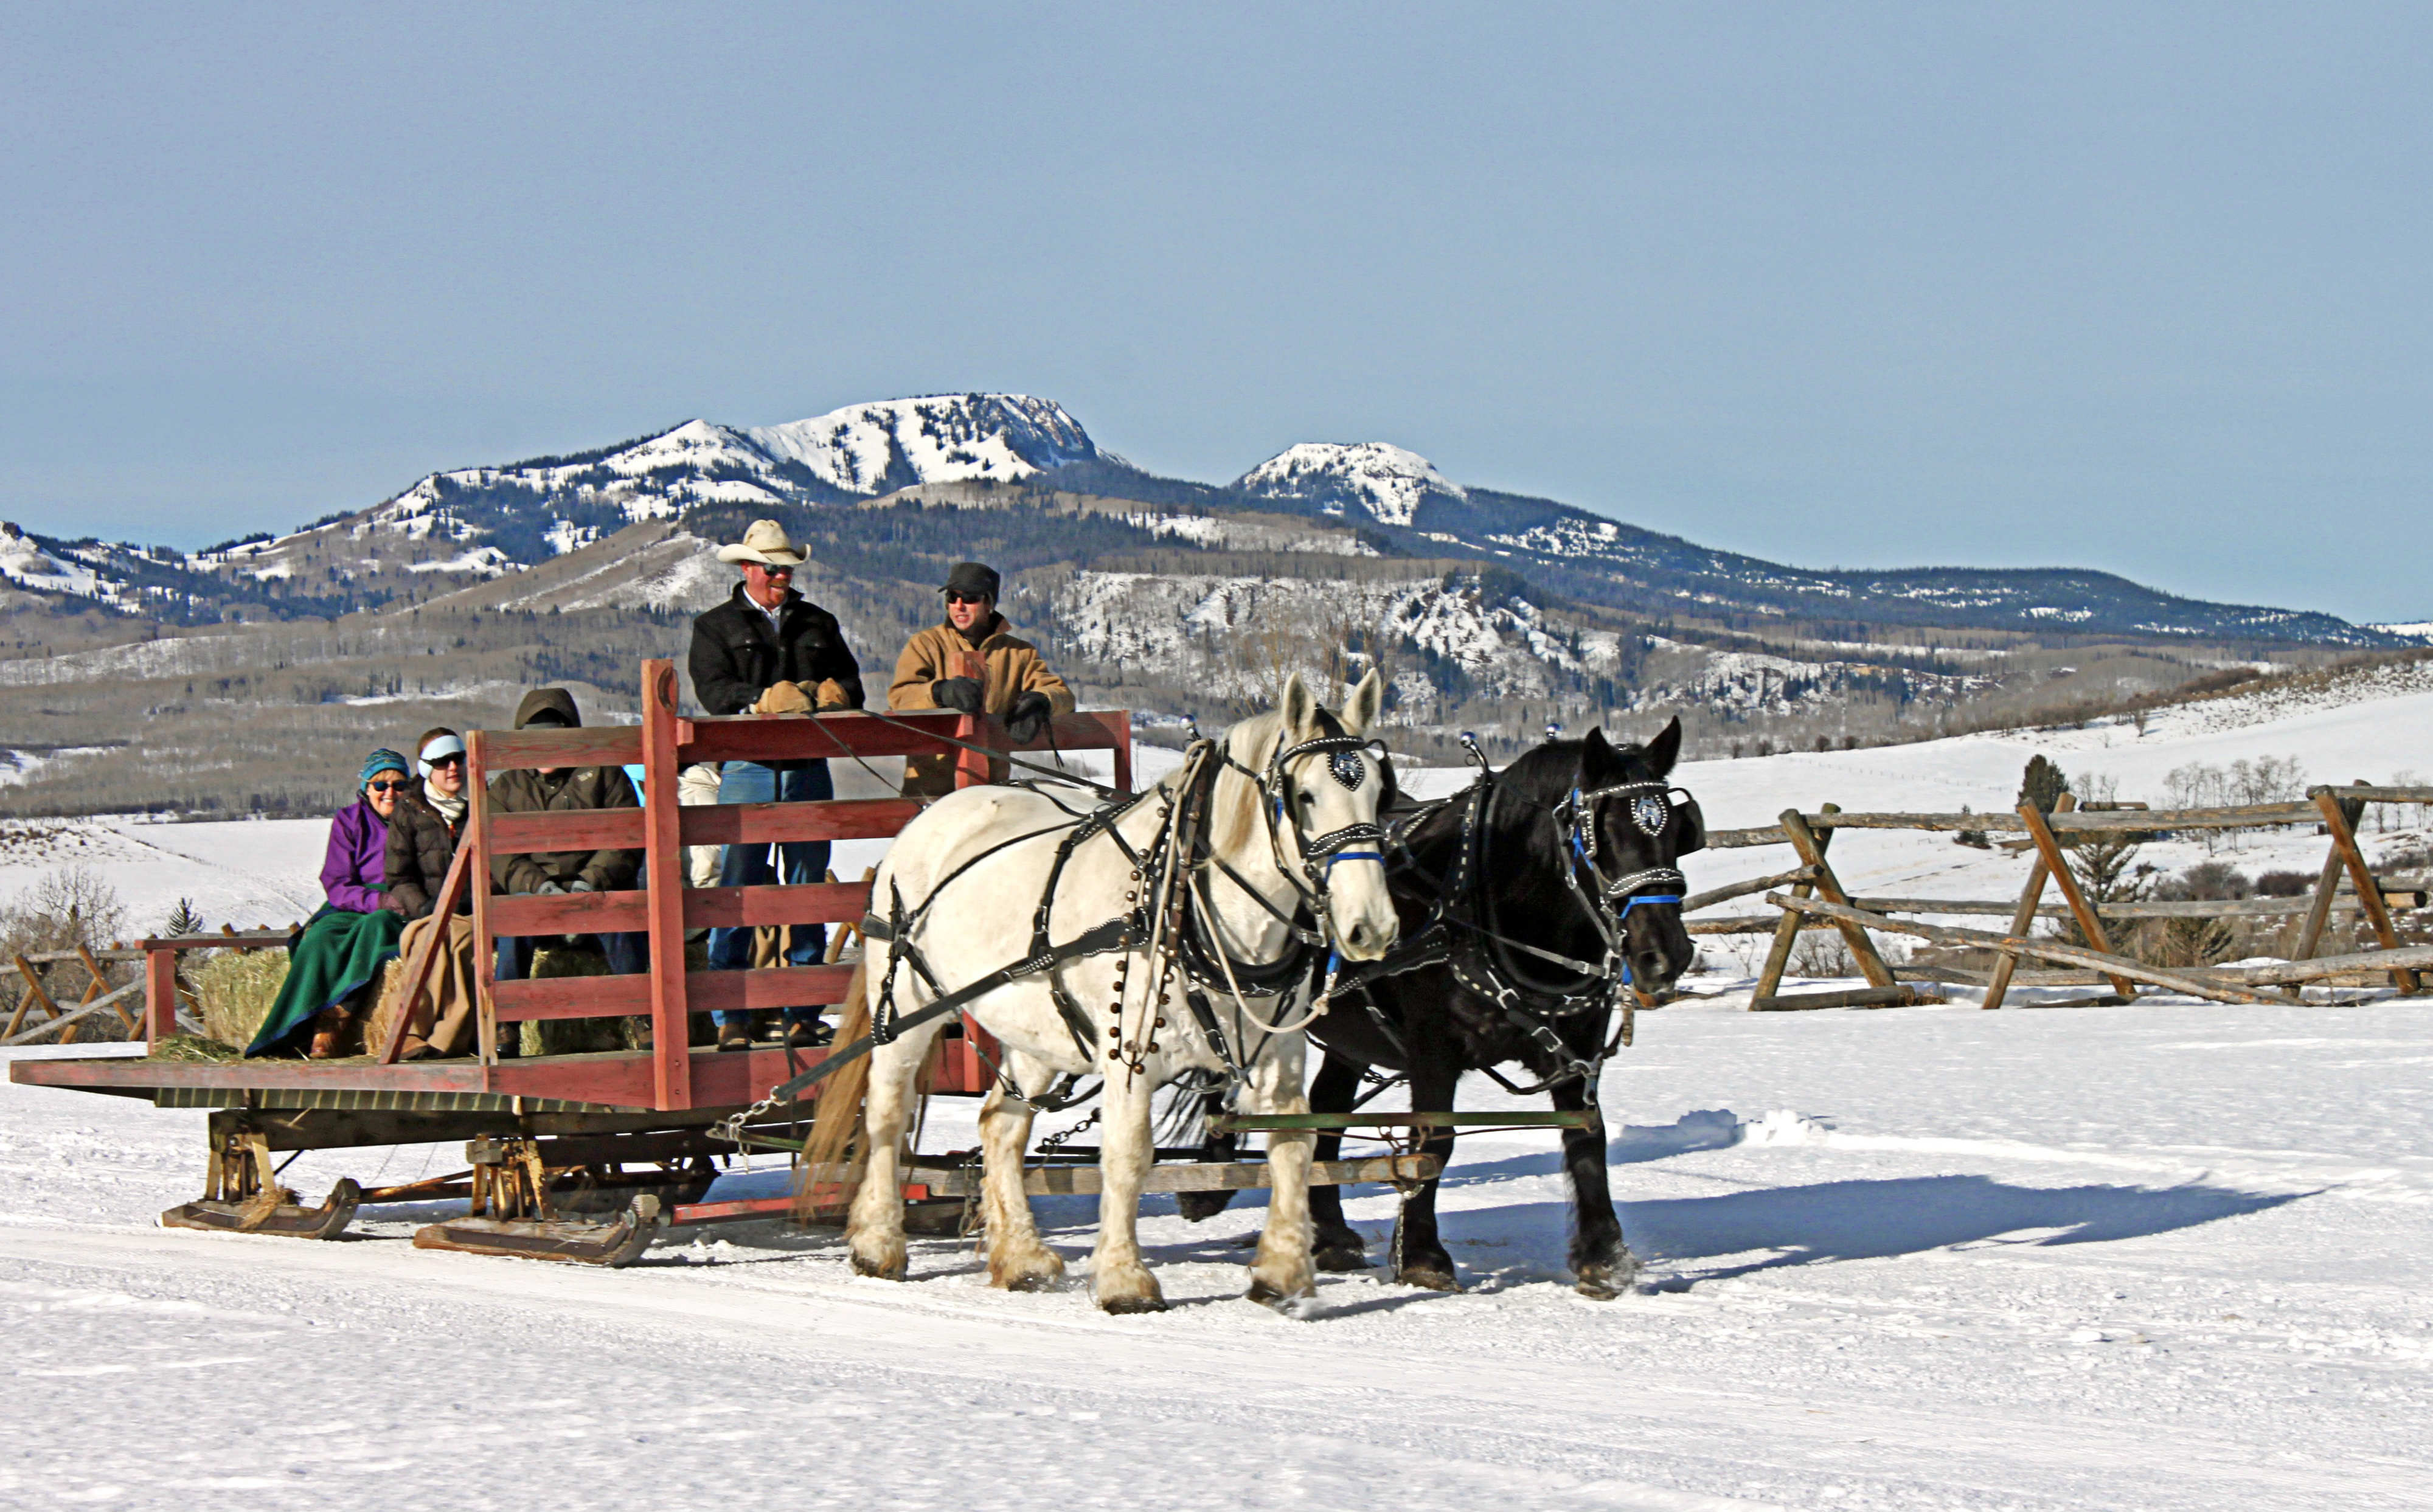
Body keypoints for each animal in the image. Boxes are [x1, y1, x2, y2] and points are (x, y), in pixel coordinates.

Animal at [847, 676, 1401, 1313]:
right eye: (1305, 795)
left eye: (1379, 793)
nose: (1372, 927)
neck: (1193, 904)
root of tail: (931, 814)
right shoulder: (1130, 1055)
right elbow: (1130, 1155)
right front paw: (1123, 1279)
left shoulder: (1278, 1058)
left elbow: (1294, 1146)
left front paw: (1283, 1275)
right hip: (906, 1006)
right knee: (888, 1115)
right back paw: (878, 1242)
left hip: (1036, 1033)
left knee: (1000, 1126)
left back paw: (1022, 1257)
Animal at [1173, 724, 1703, 1303]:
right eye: (1600, 834)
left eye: (1678, 830)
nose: (1666, 955)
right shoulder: (1433, 1050)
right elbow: (1435, 1143)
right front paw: (1423, 1257)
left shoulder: (1577, 1049)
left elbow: (1588, 1138)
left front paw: (1604, 1257)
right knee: (1224, 1085)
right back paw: (1210, 1180)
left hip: (1351, 1034)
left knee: (1327, 1109)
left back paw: (1331, 1234)